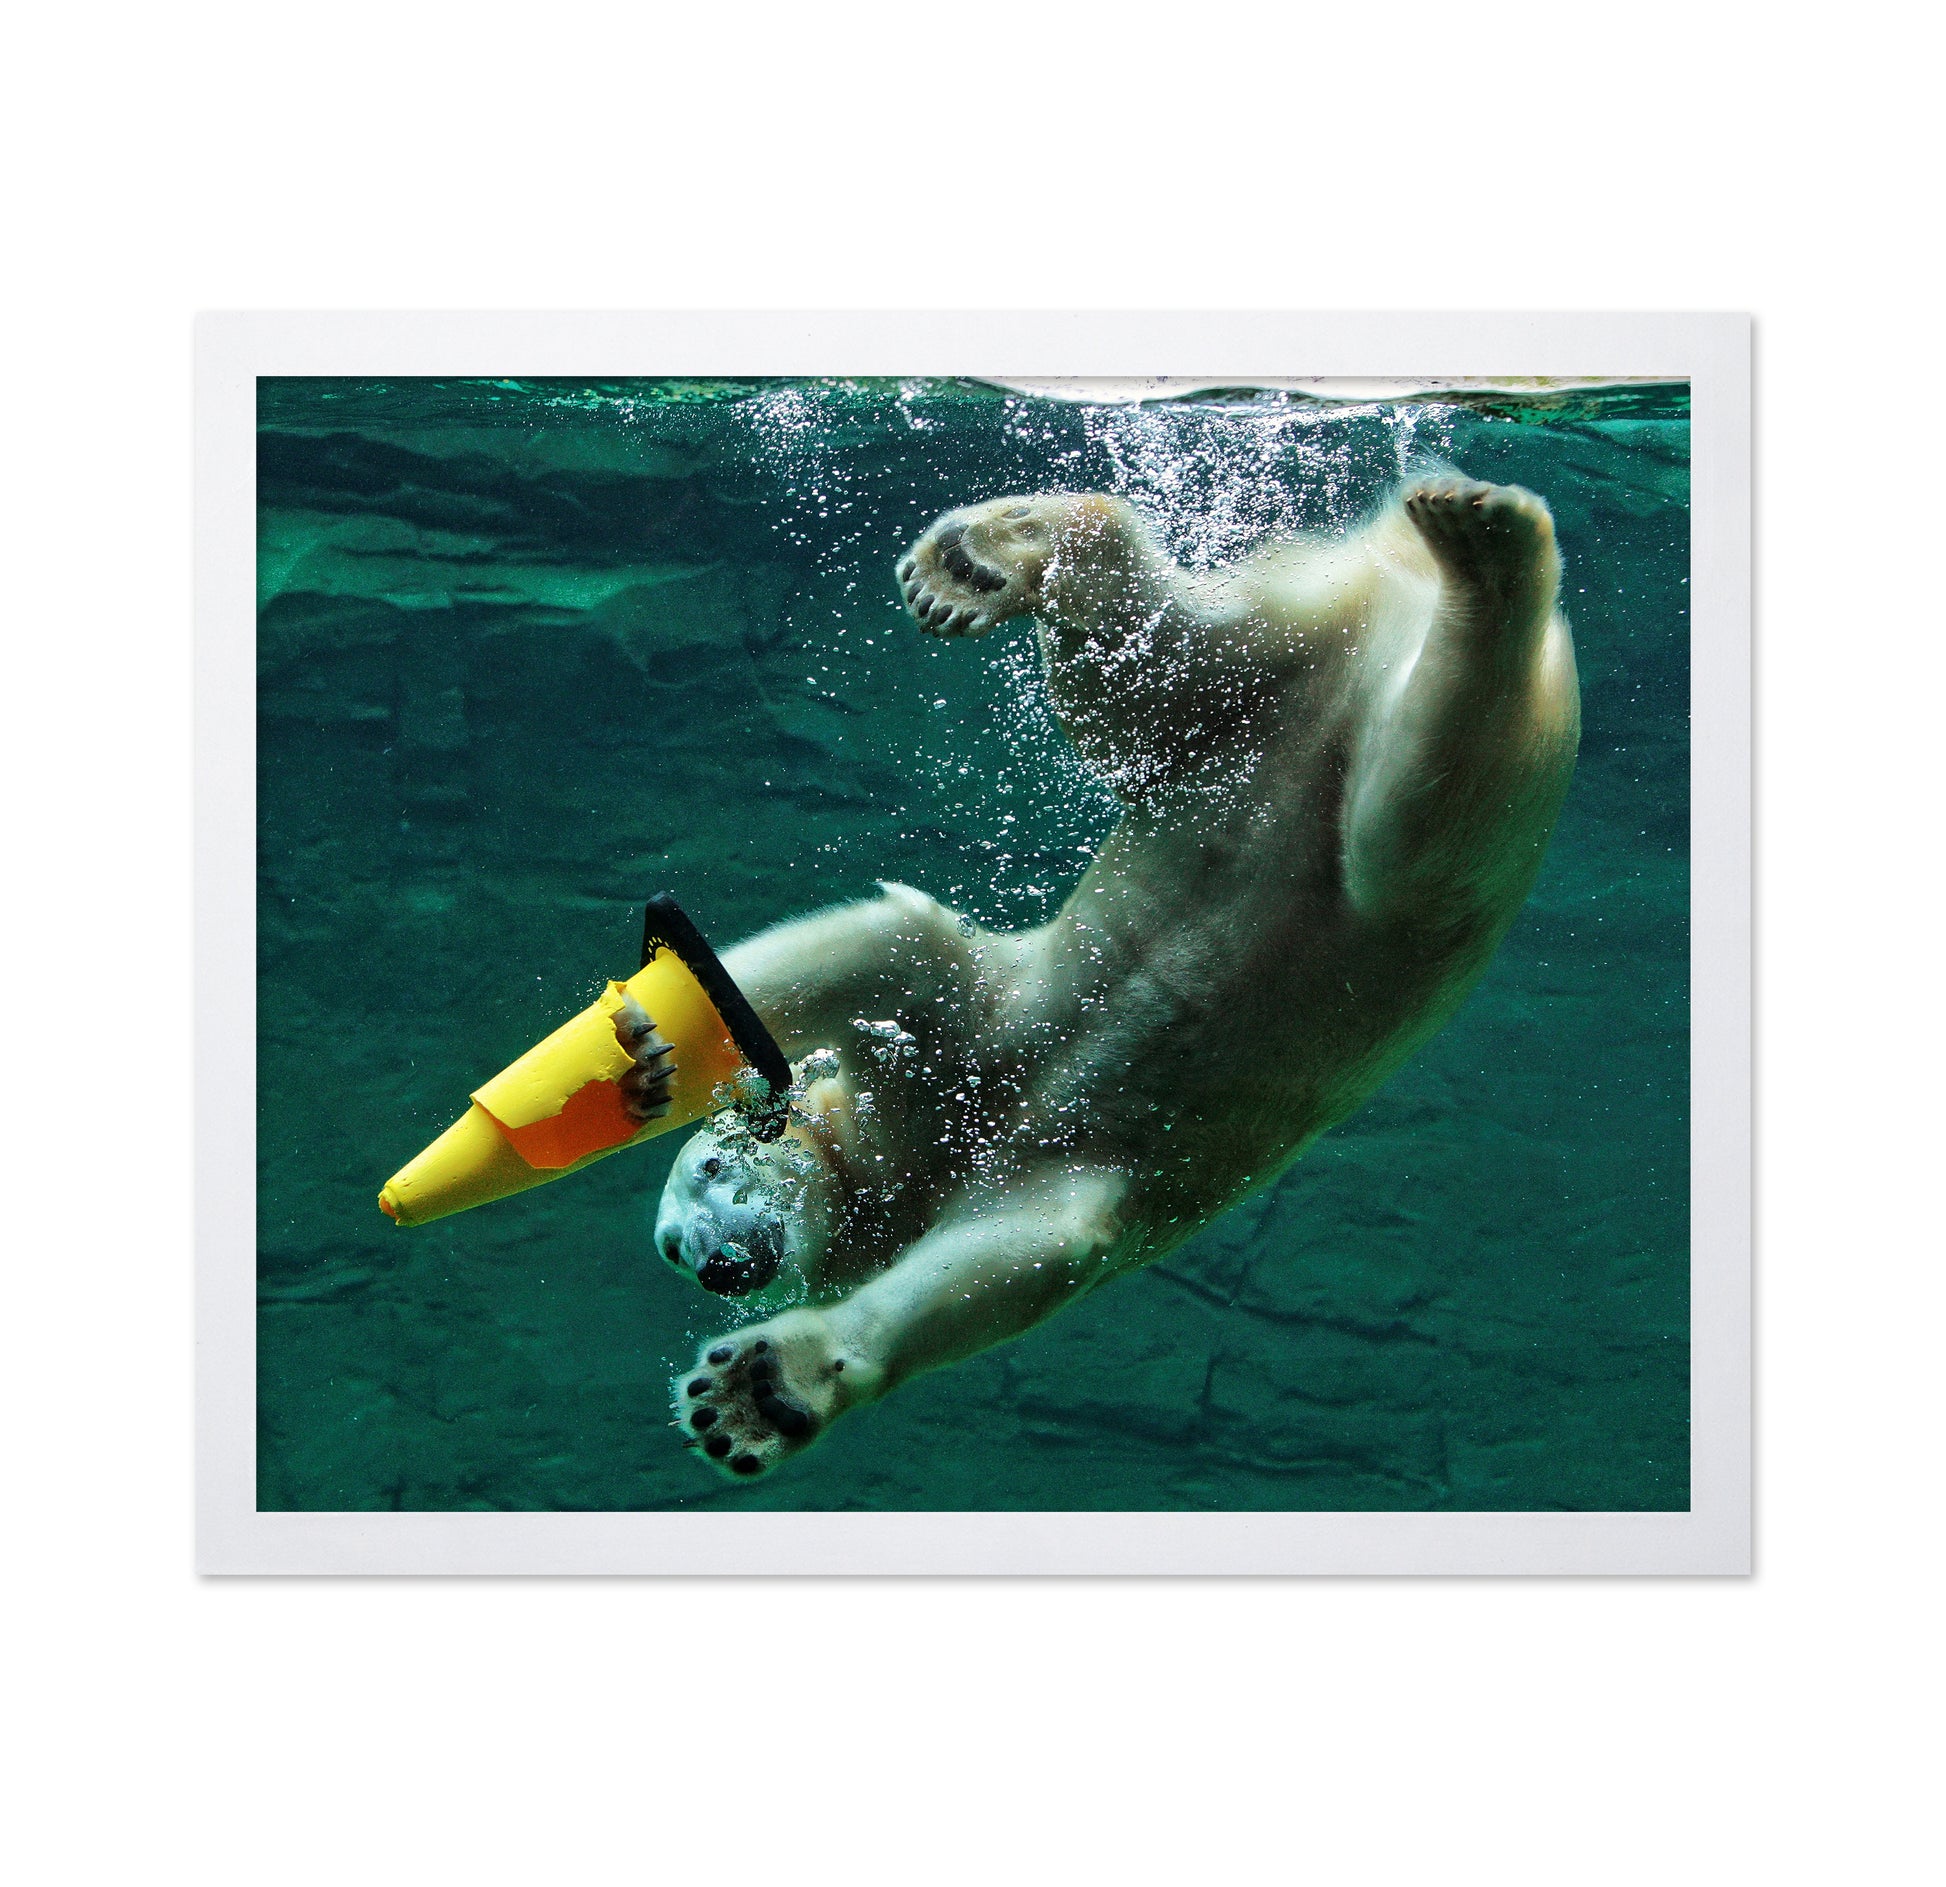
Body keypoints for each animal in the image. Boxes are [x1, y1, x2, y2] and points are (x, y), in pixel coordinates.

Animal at [634, 474, 1581, 1478]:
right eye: (674, 1252)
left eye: (712, 1168)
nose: (708, 1261)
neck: (907, 1155)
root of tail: (1384, 599)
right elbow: (1039, 1236)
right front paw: (754, 1392)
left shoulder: (948, 1036)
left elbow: (890, 949)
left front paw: (760, 1386)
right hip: (1256, 691)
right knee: (1176, 682)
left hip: (1320, 735)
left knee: (1409, 825)